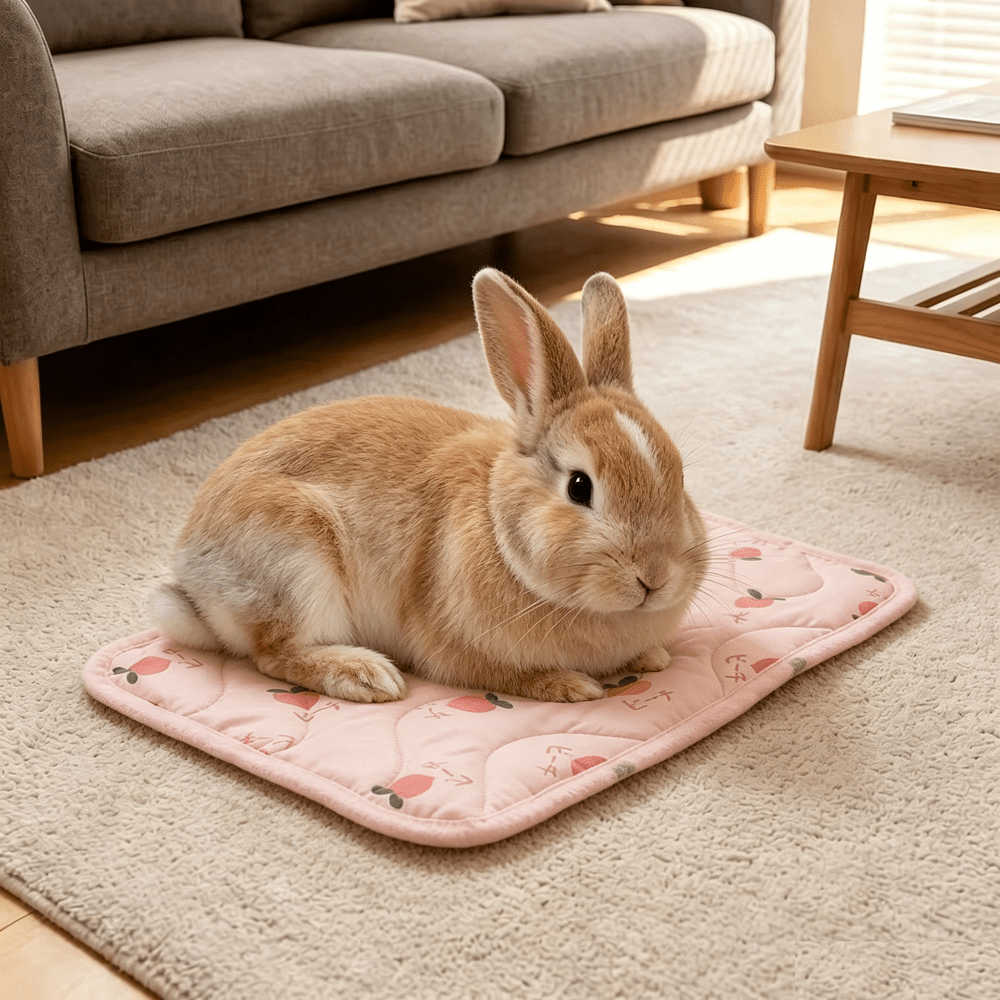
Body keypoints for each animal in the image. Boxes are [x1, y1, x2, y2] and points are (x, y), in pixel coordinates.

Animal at [151, 268, 708, 703]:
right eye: (578, 487)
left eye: (680, 476)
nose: (654, 578)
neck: (499, 526)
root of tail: (191, 578)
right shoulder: (463, 651)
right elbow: (508, 676)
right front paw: (569, 686)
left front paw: (653, 657)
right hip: (295, 567)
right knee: (274, 653)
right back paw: (366, 675)